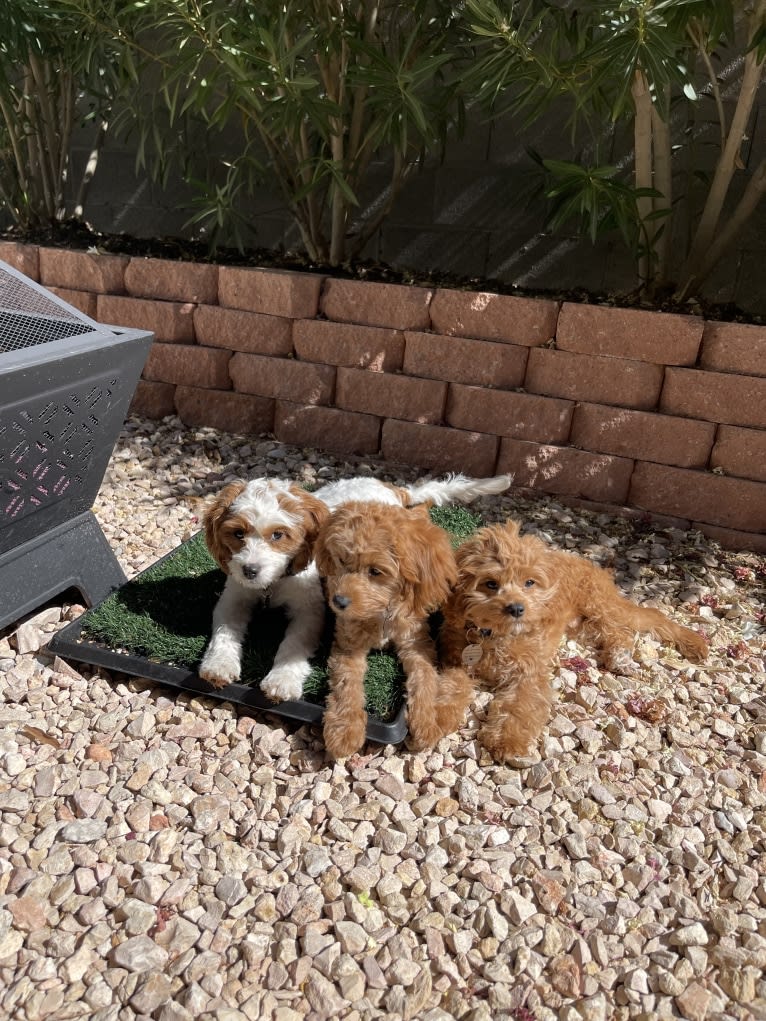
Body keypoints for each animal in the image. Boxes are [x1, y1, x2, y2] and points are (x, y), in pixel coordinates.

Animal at [199, 469, 510, 702]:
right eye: (238, 534)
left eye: (278, 535)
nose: (250, 570)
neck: (273, 584)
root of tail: (392, 488)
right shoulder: (233, 599)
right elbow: (225, 632)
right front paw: (219, 665)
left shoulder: (310, 611)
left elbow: (294, 644)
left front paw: (282, 680)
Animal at [312, 502, 473, 759]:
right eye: (342, 560)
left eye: (376, 571)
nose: (338, 601)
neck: (381, 612)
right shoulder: (348, 642)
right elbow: (346, 682)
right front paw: (345, 729)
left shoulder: (416, 642)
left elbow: (425, 676)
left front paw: (426, 722)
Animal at [441, 522, 710, 763]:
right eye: (490, 583)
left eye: (529, 582)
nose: (516, 609)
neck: (495, 636)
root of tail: (590, 563)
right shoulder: (457, 661)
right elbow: (451, 688)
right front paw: (439, 718)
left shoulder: (529, 675)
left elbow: (517, 707)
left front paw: (506, 740)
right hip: (583, 626)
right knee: (615, 632)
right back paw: (619, 656)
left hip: (601, 606)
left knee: (650, 617)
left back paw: (694, 644)